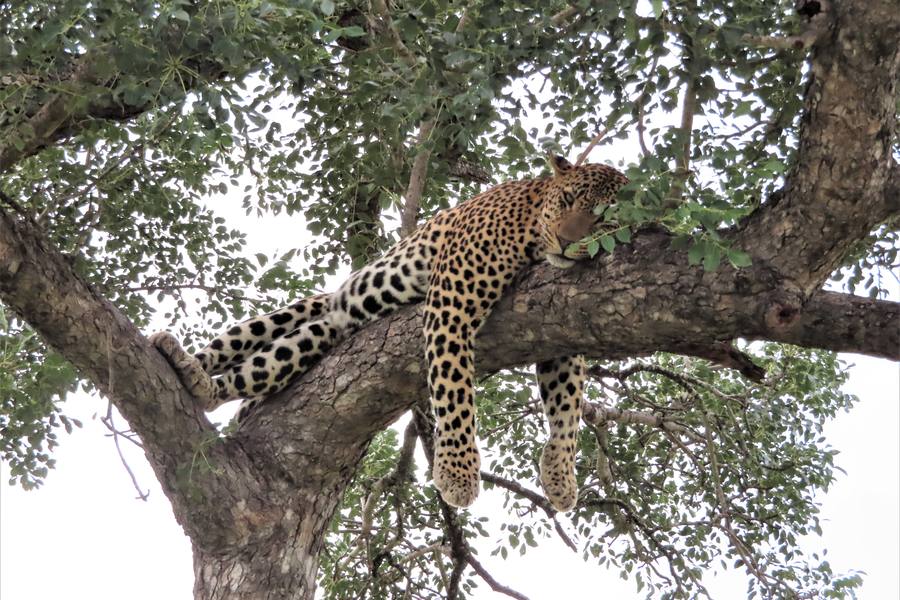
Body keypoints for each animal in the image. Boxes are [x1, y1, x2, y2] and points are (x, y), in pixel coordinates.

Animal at [150, 155, 627, 512]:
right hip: (297, 311)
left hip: (312, 336)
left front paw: (560, 476)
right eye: (567, 199)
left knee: (265, 367)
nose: (566, 242)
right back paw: (187, 365)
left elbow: (567, 405)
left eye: (603, 218)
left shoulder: (558, 326)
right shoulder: (452, 301)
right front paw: (458, 473)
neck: (532, 229)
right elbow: (454, 388)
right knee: (231, 349)